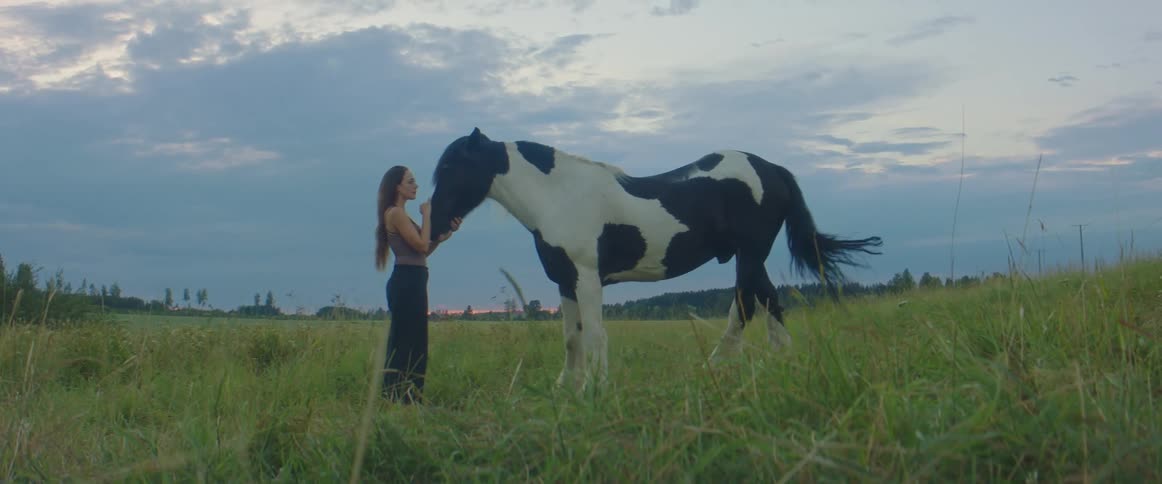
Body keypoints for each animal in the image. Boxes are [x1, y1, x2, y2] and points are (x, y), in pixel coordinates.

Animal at [427, 127, 882, 391]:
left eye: (451, 166)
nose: (434, 226)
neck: (560, 196)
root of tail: (771, 168)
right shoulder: (565, 281)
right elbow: (572, 337)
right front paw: (566, 387)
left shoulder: (588, 278)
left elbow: (595, 335)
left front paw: (596, 388)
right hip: (750, 256)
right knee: (761, 301)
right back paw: (757, 363)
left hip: (751, 253)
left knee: (751, 303)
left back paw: (745, 363)